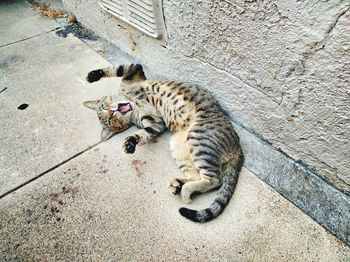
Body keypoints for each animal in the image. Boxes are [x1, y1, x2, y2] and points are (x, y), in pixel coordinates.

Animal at [83, 64, 245, 223]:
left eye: (104, 107)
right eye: (110, 121)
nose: (111, 112)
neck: (133, 105)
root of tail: (238, 146)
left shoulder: (134, 72)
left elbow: (117, 69)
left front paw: (93, 76)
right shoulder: (155, 123)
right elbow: (142, 134)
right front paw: (131, 142)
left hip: (198, 139)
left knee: (215, 180)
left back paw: (185, 190)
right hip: (182, 147)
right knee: (203, 177)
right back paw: (180, 186)